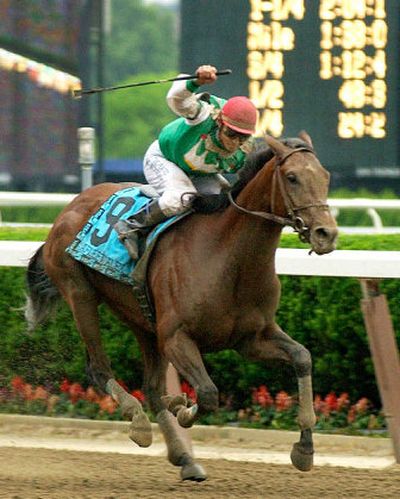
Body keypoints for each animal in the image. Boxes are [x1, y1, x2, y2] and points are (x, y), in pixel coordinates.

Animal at [24, 132, 338, 480]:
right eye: (292, 177)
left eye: (325, 176)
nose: (326, 234)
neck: (229, 259)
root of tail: (70, 206)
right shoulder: (176, 337)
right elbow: (208, 393)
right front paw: (181, 407)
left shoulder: (251, 339)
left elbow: (302, 357)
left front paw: (305, 448)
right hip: (80, 294)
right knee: (99, 368)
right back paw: (139, 422)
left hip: (141, 318)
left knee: (150, 386)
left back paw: (184, 457)